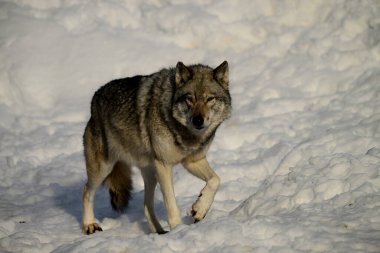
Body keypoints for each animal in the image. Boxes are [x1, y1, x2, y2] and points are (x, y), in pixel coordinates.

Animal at [82, 60, 232, 234]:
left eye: (210, 99)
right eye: (189, 99)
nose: (198, 120)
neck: (186, 134)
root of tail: (95, 97)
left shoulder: (192, 161)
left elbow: (216, 180)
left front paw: (200, 209)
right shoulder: (164, 164)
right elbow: (172, 206)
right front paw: (178, 230)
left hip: (151, 174)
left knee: (146, 206)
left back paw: (160, 233)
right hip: (103, 168)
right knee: (86, 192)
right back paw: (89, 225)